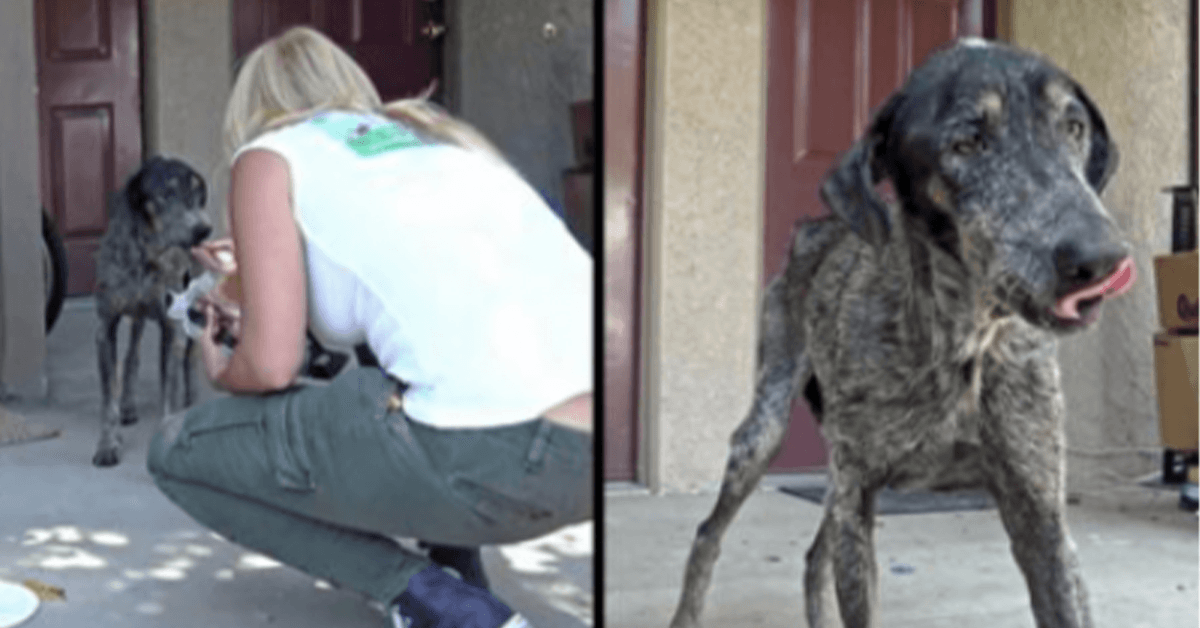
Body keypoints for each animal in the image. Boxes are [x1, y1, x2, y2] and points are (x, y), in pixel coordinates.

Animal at [676, 38, 1132, 628]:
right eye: (967, 142)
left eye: (1073, 126)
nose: (1102, 258)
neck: (964, 338)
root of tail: (815, 227)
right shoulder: (859, 494)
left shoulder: (1041, 515)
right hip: (769, 435)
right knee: (710, 532)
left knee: (813, 555)